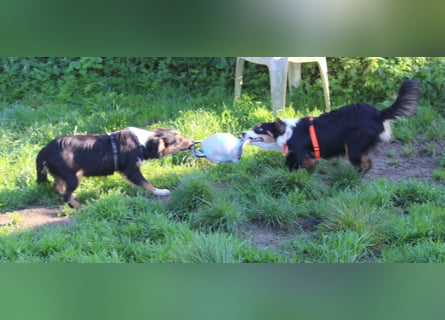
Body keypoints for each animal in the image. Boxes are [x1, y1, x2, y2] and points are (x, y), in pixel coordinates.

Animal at [36, 126, 193, 209]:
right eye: (178, 141)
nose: (192, 141)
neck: (142, 143)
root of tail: (45, 150)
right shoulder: (131, 170)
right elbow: (146, 183)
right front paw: (160, 192)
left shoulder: (126, 171)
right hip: (74, 175)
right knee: (66, 196)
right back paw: (80, 206)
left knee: (58, 186)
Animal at [243, 80, 420, 172]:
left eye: (258, 128)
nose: (243, 133)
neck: (287, 132)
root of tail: (379, 113)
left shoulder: (303, 154)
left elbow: (296, 164)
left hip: (353, 147)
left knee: (365, 165)